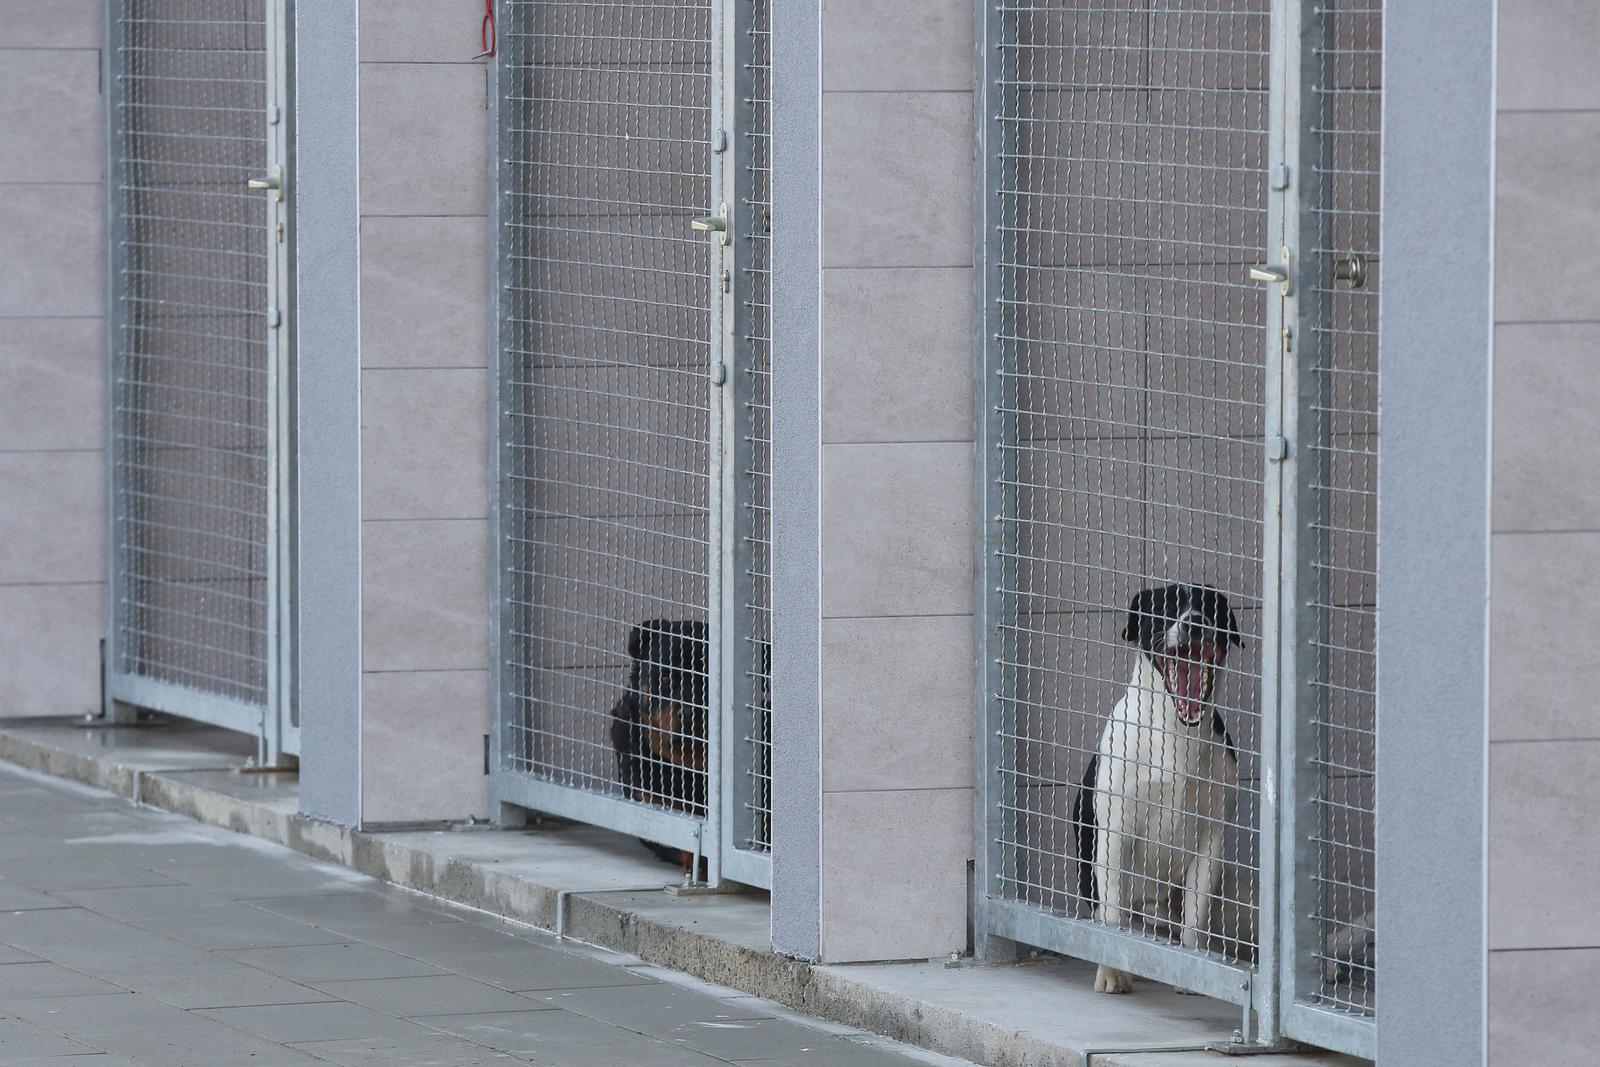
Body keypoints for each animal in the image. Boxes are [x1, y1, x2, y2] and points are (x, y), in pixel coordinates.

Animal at [1075, 585, 1248, 991]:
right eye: (1165, 608)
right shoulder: (1115, 833)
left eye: (1210, 608)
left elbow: (1195, 917)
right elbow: (1112, 915)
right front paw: (1112, 971)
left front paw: (1193, 968)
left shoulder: (1210, 839)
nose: (1194, 623)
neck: (1175, 731)